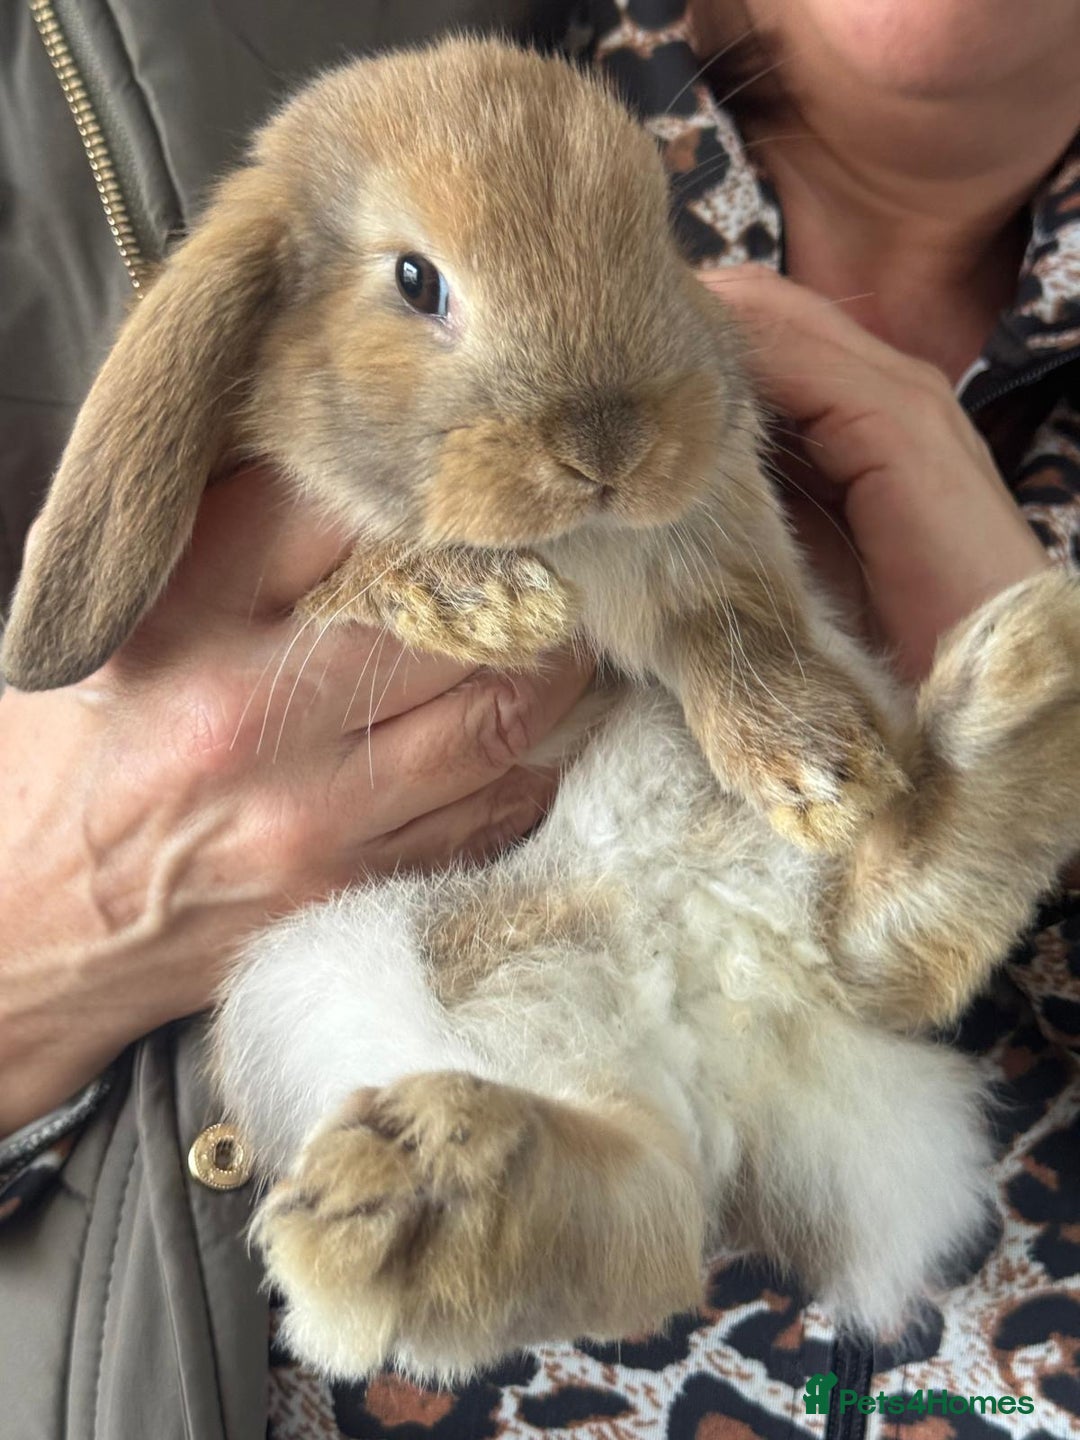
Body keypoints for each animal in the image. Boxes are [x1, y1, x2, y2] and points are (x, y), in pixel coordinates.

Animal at [4, 37, 1080, 1383]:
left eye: (656, 234)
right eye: (415, 280)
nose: (610, 444)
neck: (581, 535)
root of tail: (717, 1003)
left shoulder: (706, 527)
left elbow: (729, 624)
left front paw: (815, 764)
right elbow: (361, 582)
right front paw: (480, 604)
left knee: (880, 950)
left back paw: (1020, 684)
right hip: (318, 986)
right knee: (644, 1212)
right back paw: (415, 1202)